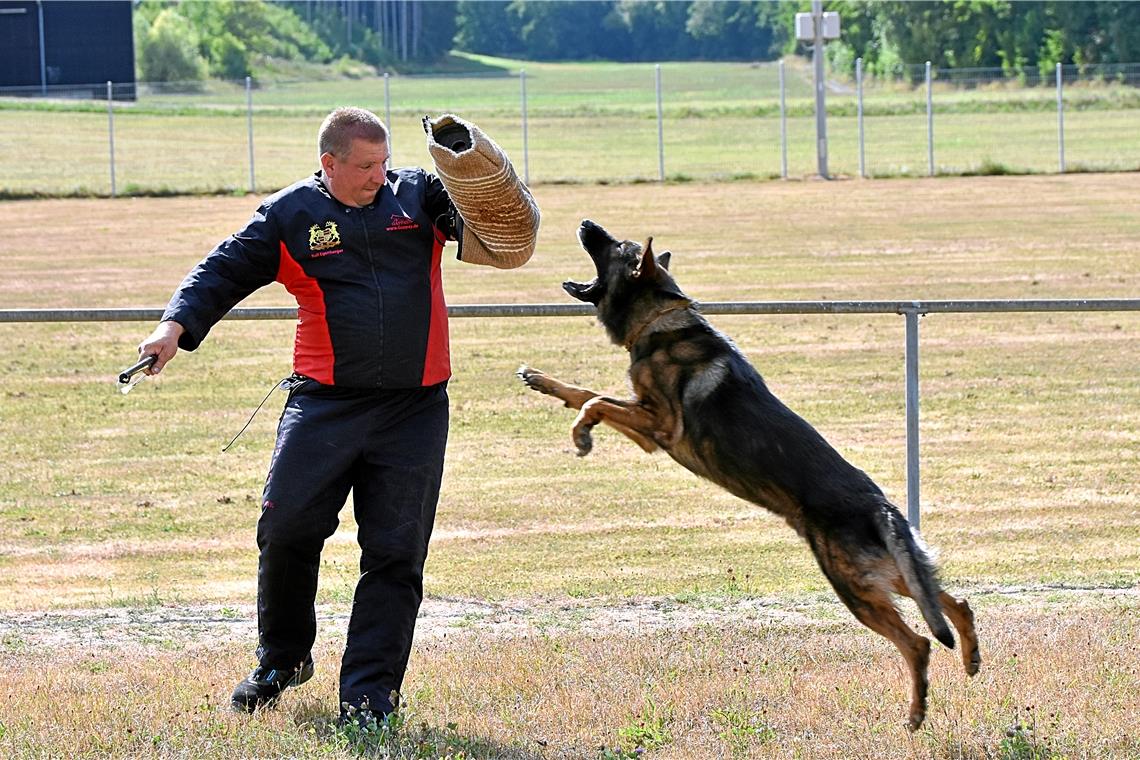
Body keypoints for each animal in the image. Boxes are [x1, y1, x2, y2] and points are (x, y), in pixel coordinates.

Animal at [517, 219, 980, 729]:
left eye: (617, 246)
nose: (585, 224)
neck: (658, 321)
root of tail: (881, 506)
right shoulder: (645, 425)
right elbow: (584, 392)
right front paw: (541, 381)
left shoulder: (660, 425)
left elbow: (596, 401)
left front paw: (581, 434)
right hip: (884, 573)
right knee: (954, 603)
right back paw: (970, 658)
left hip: (853, 585)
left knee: (918, 641)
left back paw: (916, 712)